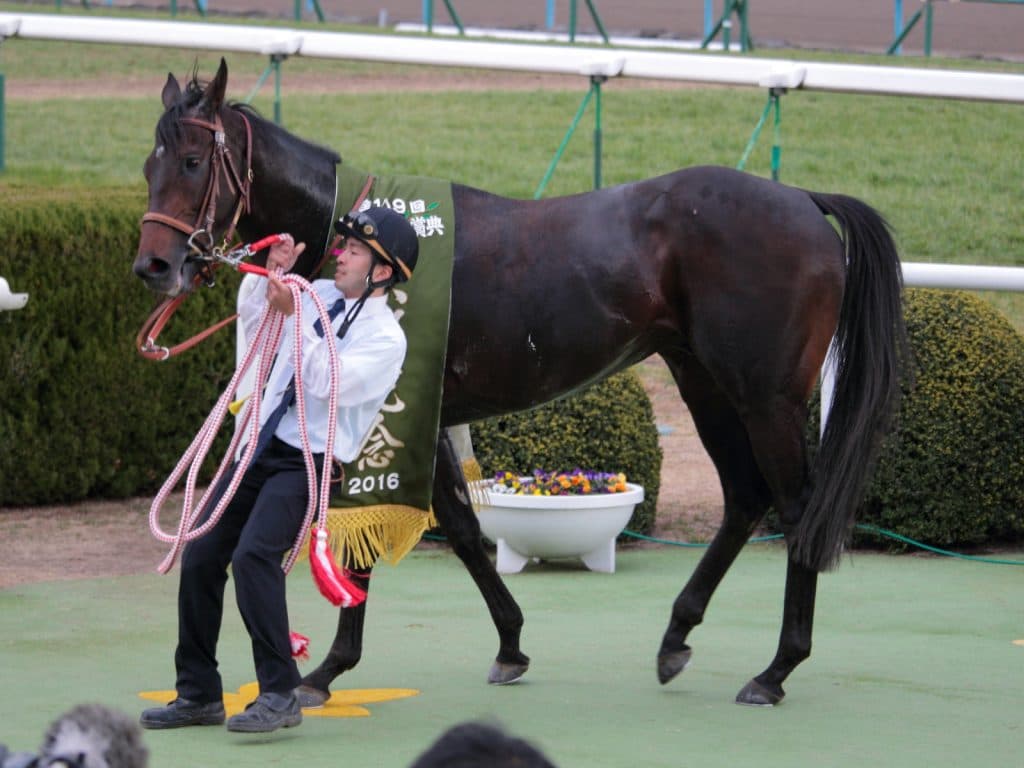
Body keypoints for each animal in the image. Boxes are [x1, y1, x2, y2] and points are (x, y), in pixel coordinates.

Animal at [133, 59, 907, 707]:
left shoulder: (391, 407)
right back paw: (677, 637)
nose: (154, 266)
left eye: (195, 162)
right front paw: (509, 643)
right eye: (149, 165)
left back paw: (775, 670)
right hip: (704, 382)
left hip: (764, 397)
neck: (370, 244)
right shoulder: (421, 413)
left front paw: (325, 670)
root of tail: (802, 200)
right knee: (745, 496)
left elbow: (377, 529)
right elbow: (461, 526)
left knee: (796, 506)